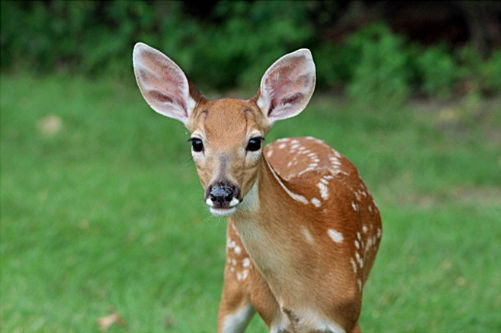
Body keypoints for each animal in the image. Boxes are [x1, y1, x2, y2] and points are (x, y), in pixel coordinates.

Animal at [131, 42, 380, 330]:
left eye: (254, 141)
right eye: (196, 142)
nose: (221, 193)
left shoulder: (349, 315)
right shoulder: (274, 319)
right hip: (236, 272)